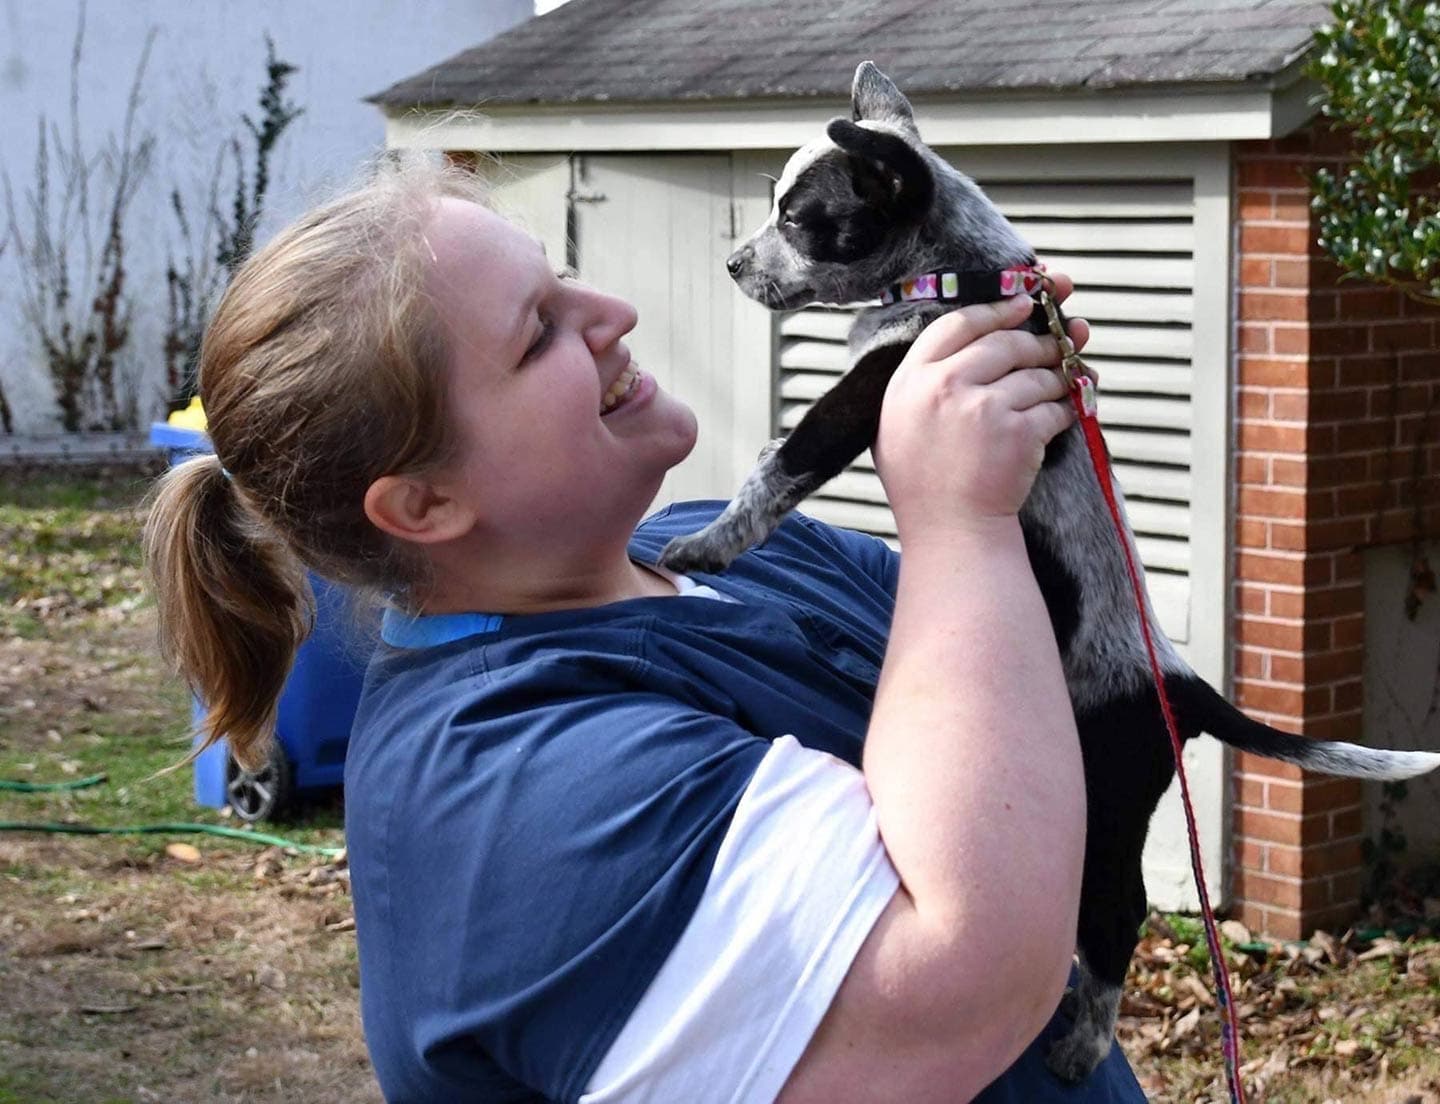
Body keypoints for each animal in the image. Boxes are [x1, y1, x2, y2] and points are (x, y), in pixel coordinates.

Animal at [659, 62, 1440, 1088]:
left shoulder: (868, 395)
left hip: (1105, 808)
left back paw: (1080, 1040)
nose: (732, 266)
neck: (957, 270)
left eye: (798, 216)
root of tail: (1182, 686)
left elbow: (781, 466)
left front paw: (706, 543)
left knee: (1118, 918)